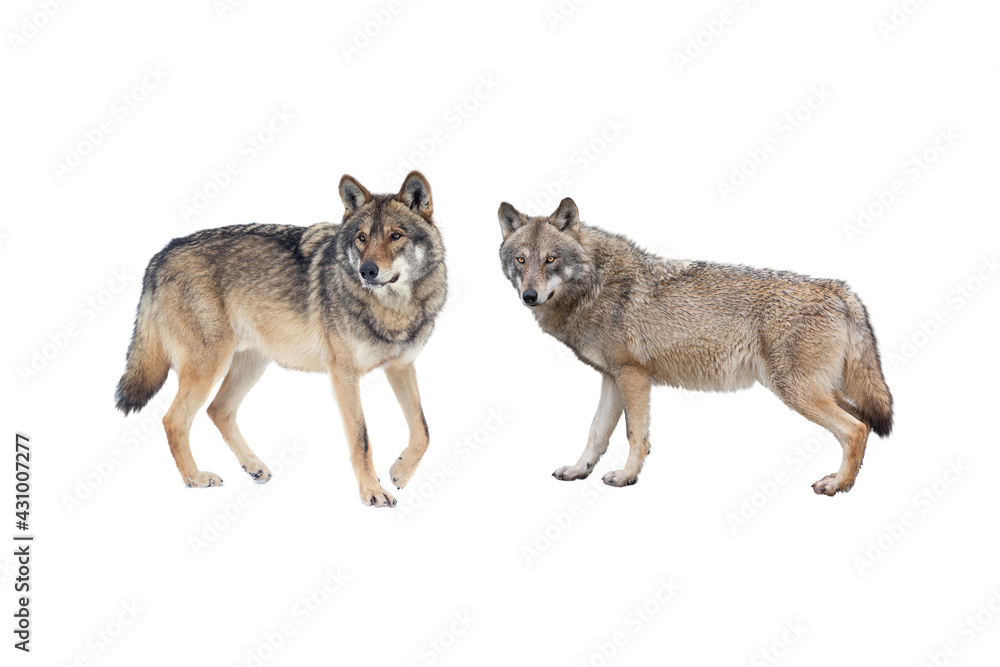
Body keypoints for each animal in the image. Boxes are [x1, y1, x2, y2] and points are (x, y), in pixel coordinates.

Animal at [115, 171, 446, 507]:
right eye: (361, 238)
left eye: (396, 236)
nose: (367, 271)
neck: (393, 309)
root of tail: (161, 253)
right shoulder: (343, 374)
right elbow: (361, 438)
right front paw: (373, 492)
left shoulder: (401, 366)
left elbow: (424, 431)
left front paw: (400, 472)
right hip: (209, 366)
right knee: (174, 420)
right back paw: (195, 478)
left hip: (251, 365)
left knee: (217, 410)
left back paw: (254, 466)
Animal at [496, 197, 893, 495]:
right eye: (521, 260)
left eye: (550, 259)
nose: (529, 296)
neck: (594, 285)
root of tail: (841, 291)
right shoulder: (612, 377)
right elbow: (596, 432)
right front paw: (579, 470)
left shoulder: (633, 376)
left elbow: (634, 435)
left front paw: (626, 477)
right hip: (818, 391)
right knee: (863, 423)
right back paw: (842, 480)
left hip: (797, 392)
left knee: (855, 429)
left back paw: (838, 486)